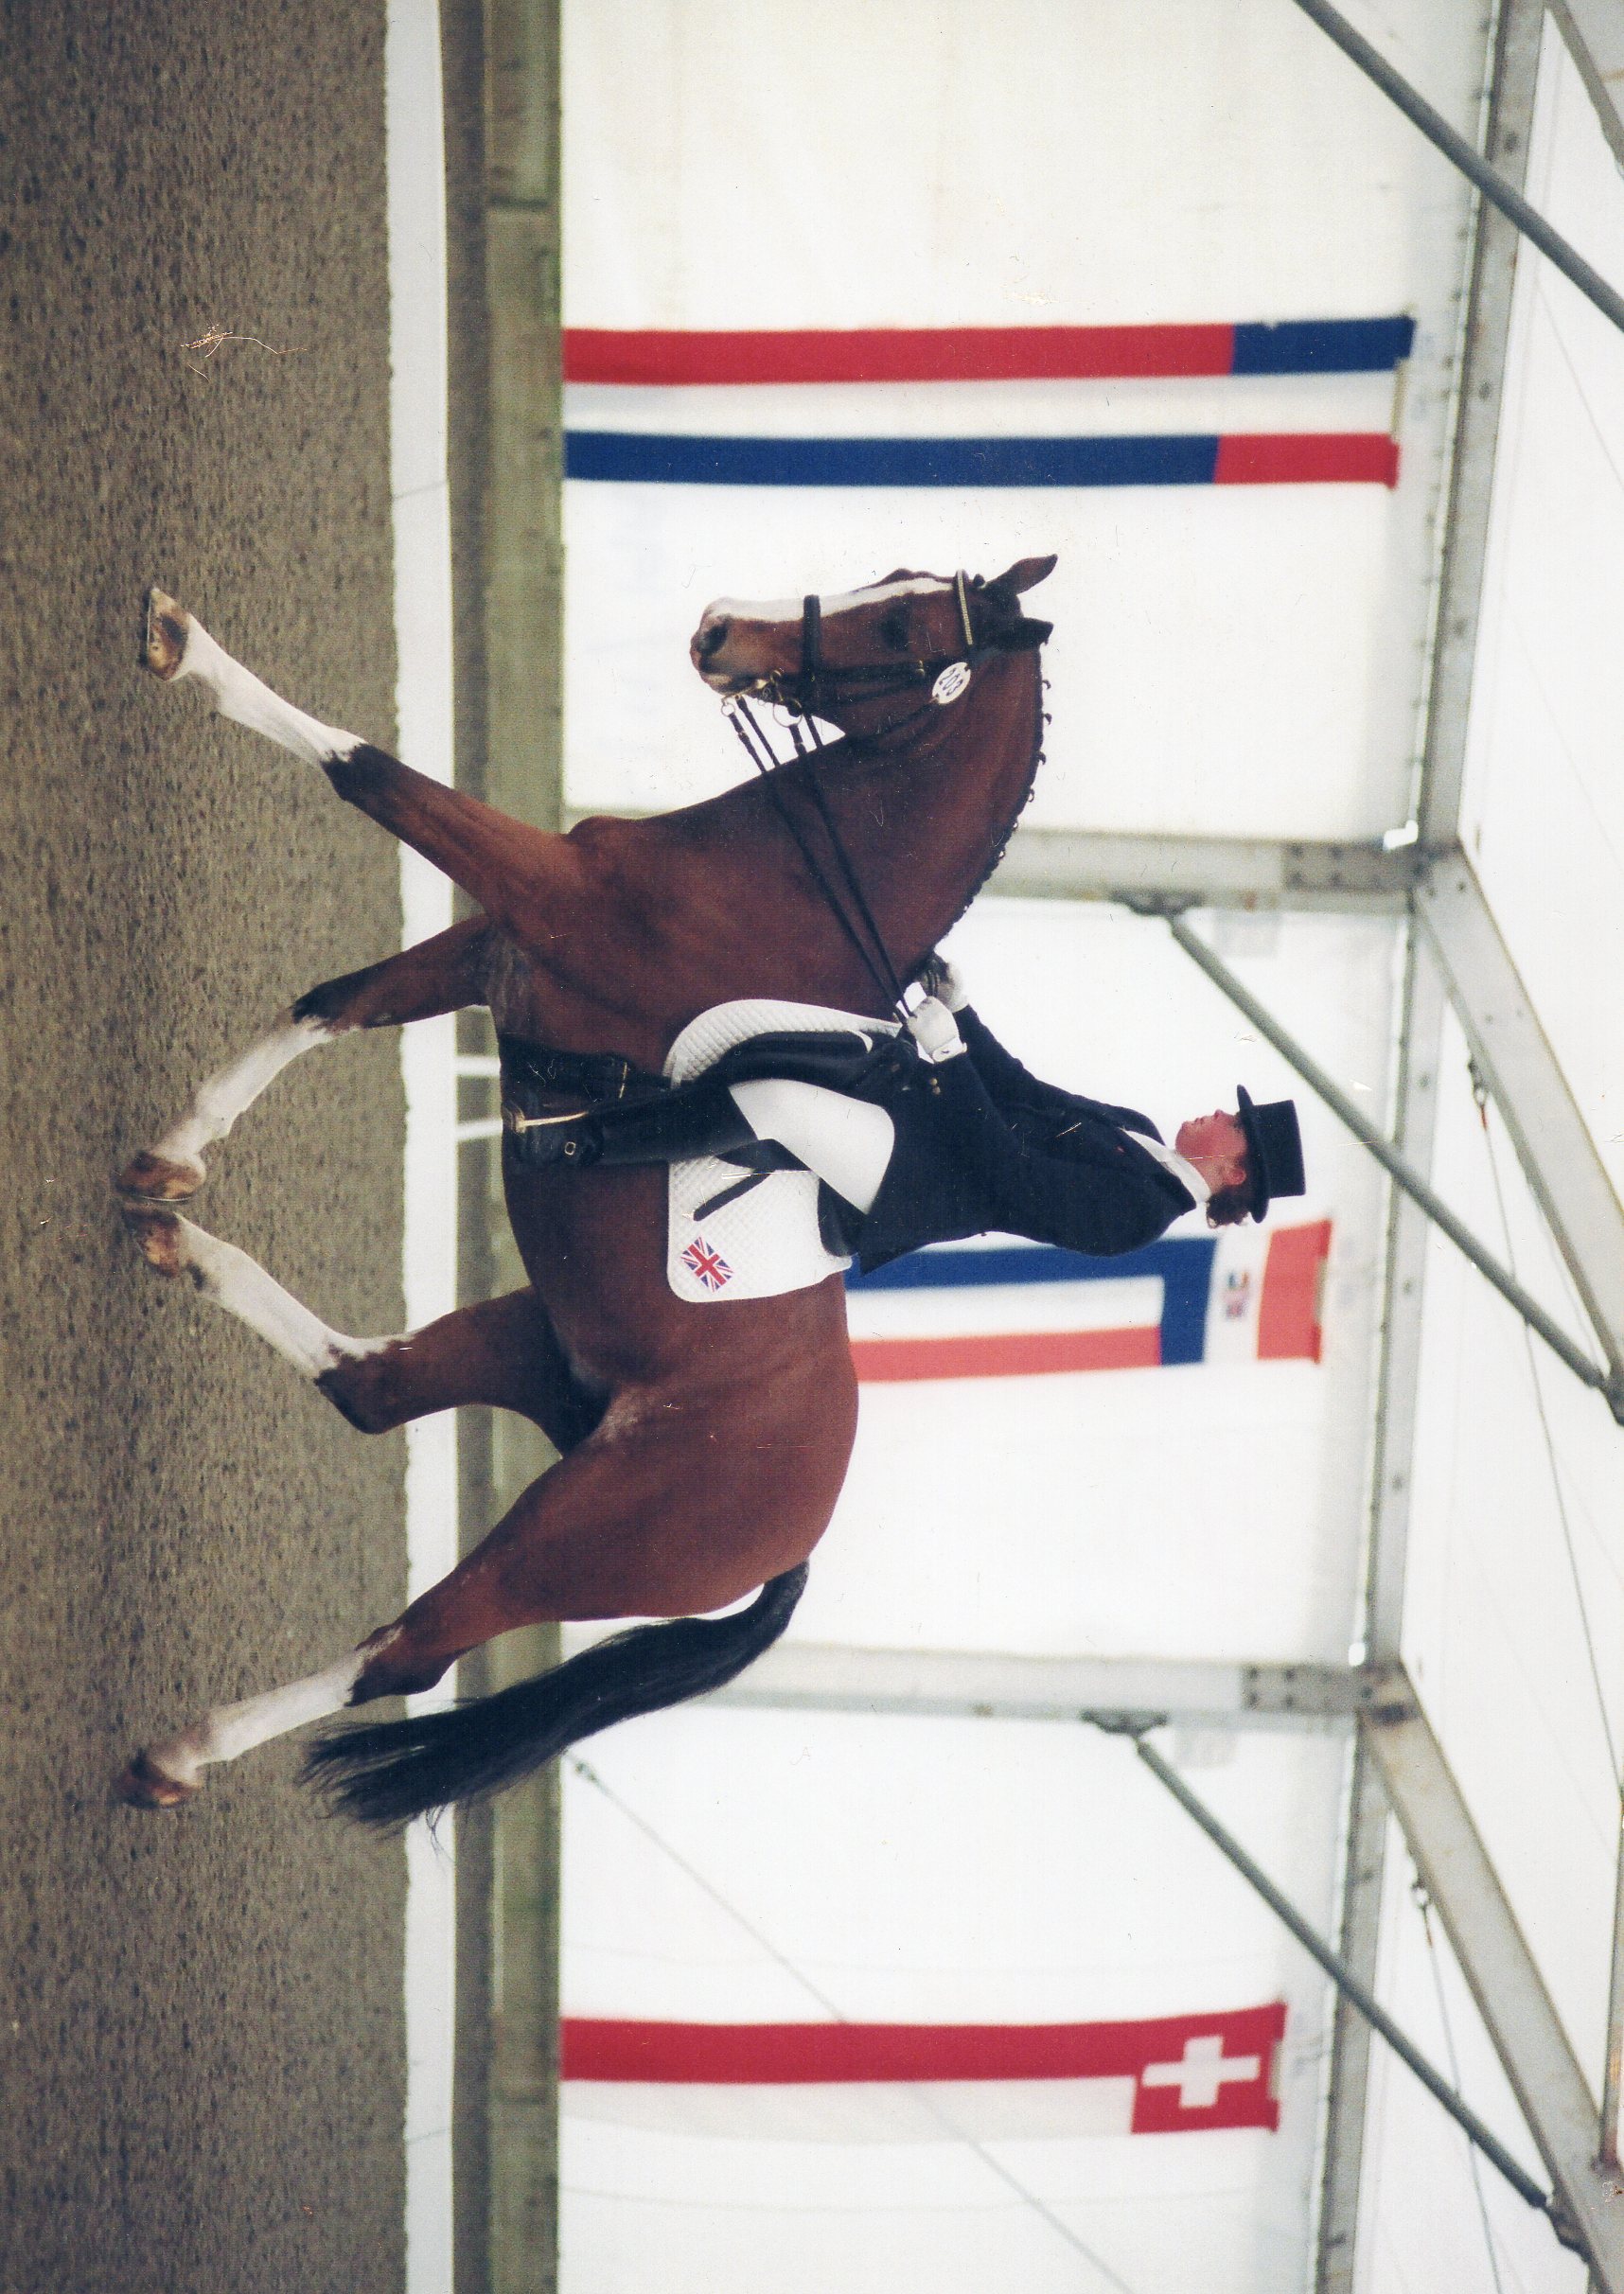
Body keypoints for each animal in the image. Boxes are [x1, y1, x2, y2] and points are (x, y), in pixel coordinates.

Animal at [114, 556, 1056, 1824]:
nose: (720, 632)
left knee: (411, 1649)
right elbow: (327, 1003)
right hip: (532, 1347)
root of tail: (802, 1528)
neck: (782, 890)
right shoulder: (496, 951)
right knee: (371, 1390)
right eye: (886, 577)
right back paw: (176, 1239)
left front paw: (184, 648)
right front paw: (178, 1150)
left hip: (570, 1539)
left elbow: (365, 769)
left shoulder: (540, 896)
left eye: (906, 626)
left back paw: (179, 1755)